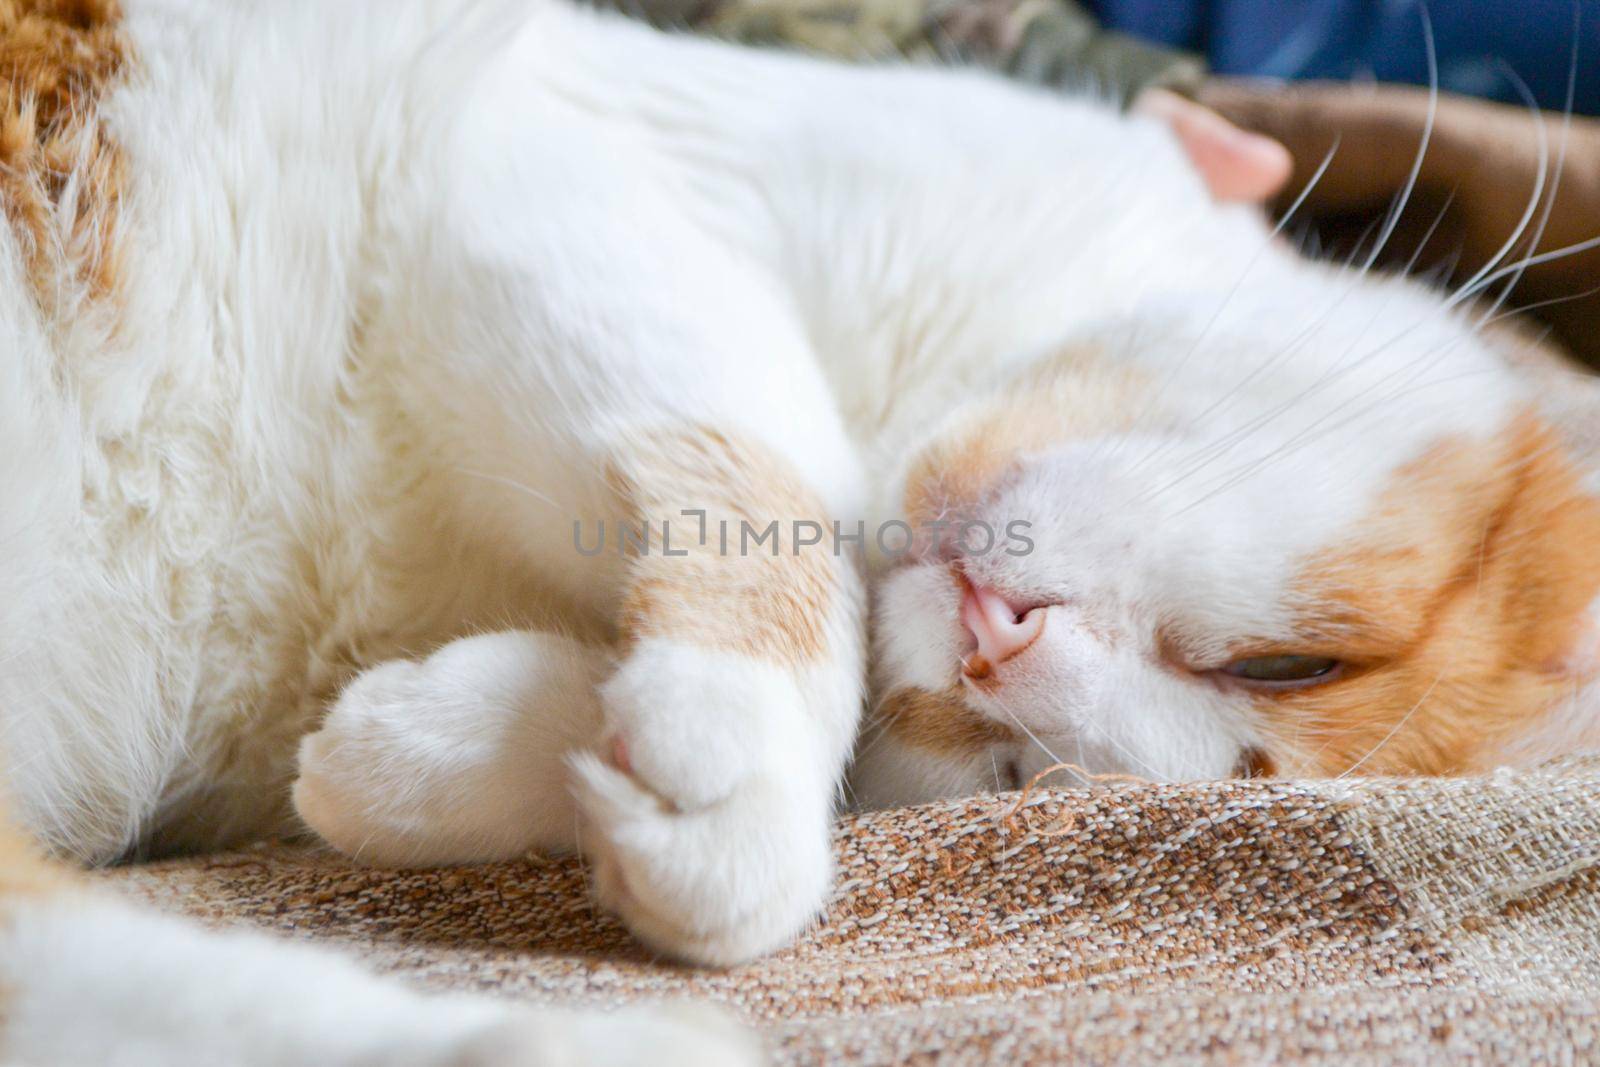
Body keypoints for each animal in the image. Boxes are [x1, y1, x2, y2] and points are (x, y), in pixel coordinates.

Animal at [3, 0, 1600, 1062]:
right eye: (1286, 664)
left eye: (1024, 780)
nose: (1001, 651)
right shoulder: (531, 164)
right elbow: (786, 476)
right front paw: (736, 716)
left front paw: (442, 753)